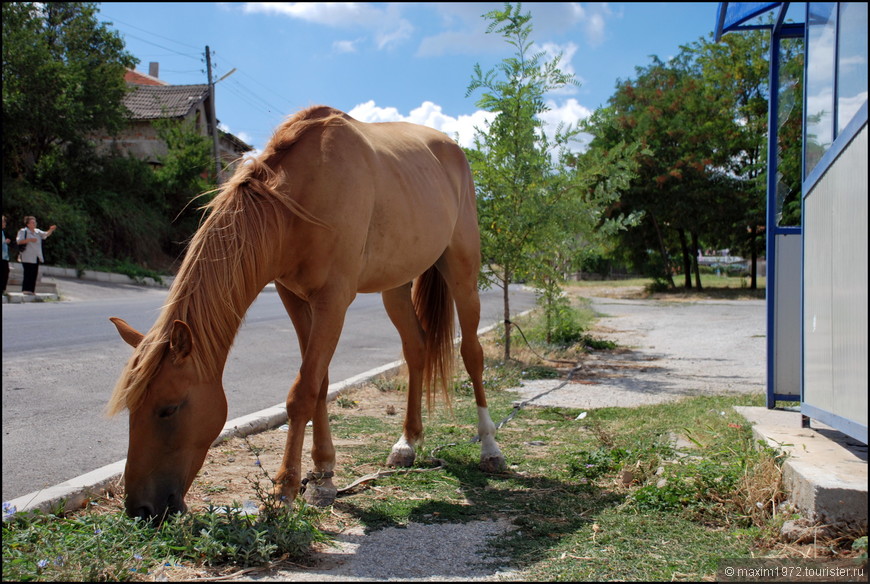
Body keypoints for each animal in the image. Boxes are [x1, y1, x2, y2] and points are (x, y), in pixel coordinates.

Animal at [106, 106, 508, 524]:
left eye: (168, 409)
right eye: (132, 407)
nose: (139, 509)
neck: (297, 201)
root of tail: (451, 148)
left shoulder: (333, 301)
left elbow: (302, 393)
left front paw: (284, 490)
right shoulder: (295, 299)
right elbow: (320, 383)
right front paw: (322, 475)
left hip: (462, 271)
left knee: (472, 355)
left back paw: (490, 448)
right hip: (394, 287)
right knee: (416, 349)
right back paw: (406, 443)